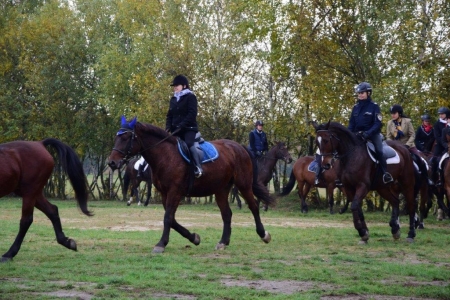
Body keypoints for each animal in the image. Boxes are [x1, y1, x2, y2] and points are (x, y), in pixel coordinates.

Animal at [108, 117, 274, 253]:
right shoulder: (164, 193)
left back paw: (263, 234)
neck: (165, 155)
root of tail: (239, 147)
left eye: (126, 137)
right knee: (227, 214)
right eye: (116, 137)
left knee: (253, 206)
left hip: (244, 185)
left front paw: (161, 244)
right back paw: (223, 242)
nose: (112, 162)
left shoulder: (174, 192)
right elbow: (172, 219)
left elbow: (168, 218)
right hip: (221, 190)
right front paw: (194, 237)